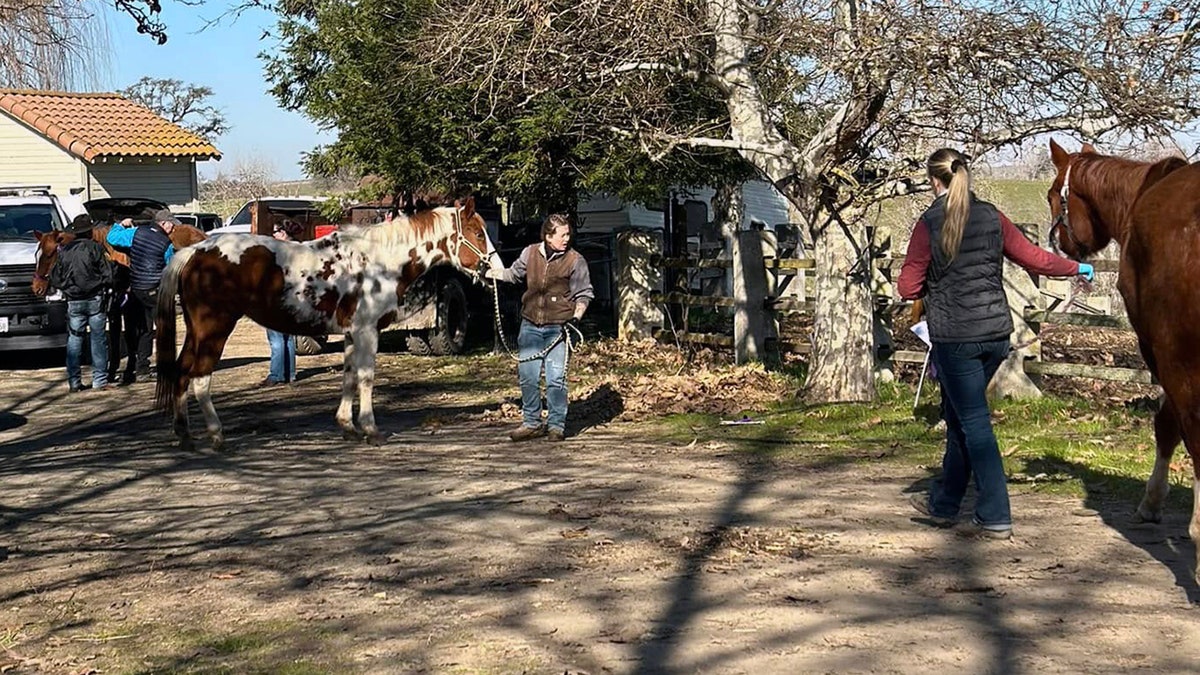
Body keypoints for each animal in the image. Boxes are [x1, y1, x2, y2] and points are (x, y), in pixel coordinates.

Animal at [157, 195, 494, 446]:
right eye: (478, 233)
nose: (492, 267)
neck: (378, 261)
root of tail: (195, 252)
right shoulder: (368, 331)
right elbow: (366, 377)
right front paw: (370, 429)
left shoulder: (352, 333)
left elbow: (349, 376)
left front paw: (348, 426)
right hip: (214, 329)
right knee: (201, 377)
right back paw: (216, 434)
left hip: (196, 331)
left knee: (182, 372)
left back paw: (184, 434)